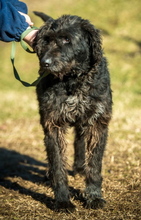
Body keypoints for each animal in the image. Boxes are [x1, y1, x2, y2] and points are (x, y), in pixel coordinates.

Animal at [33, 11, 112, 211]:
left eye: (67, 39)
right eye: (46, 40)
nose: (45, 63)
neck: (73, 80)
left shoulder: (97, 123)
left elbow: (94, 165)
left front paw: (93, 196)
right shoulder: (53, 125)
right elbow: (58, 165)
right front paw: (62, 200)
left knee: (79, 141)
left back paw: (79, 168)